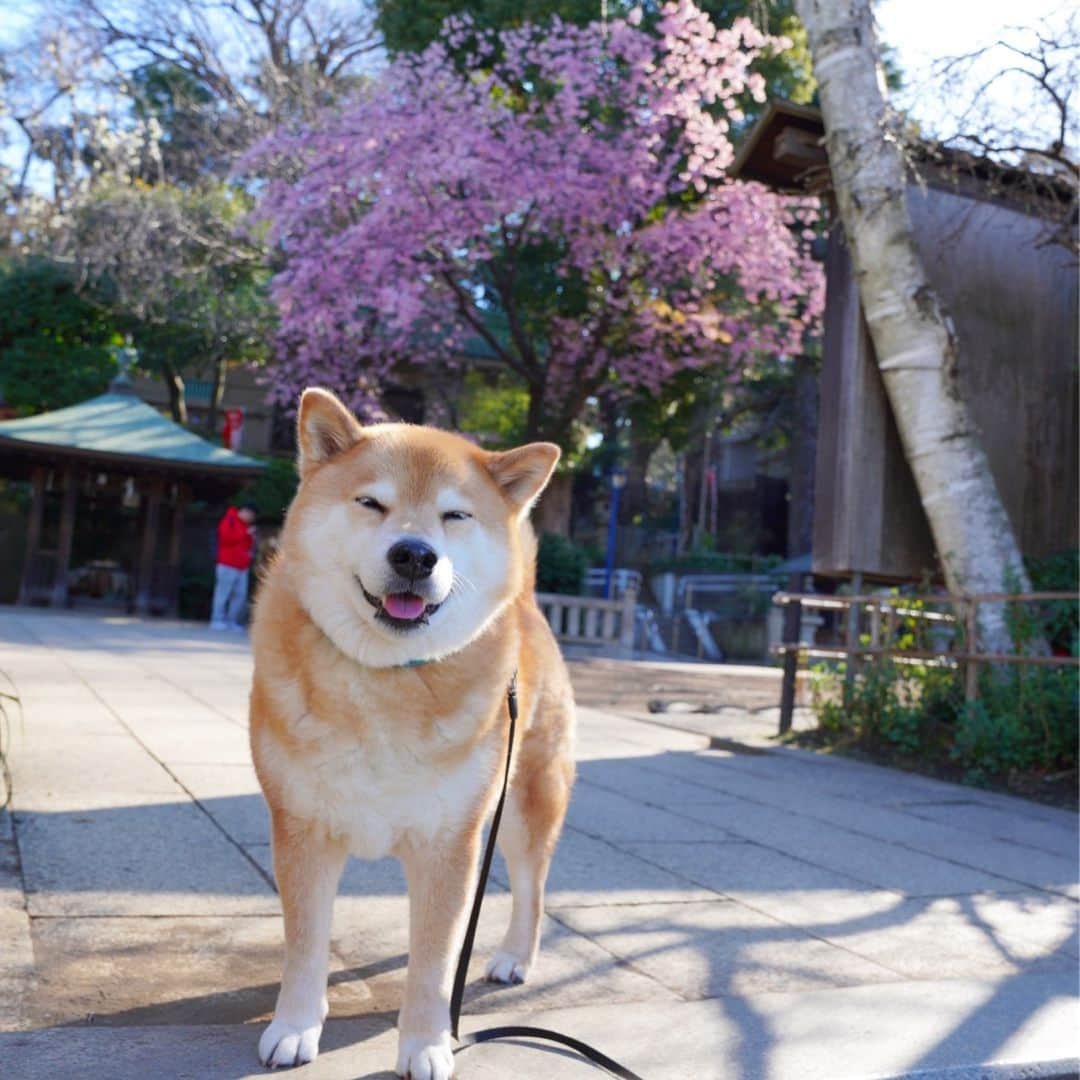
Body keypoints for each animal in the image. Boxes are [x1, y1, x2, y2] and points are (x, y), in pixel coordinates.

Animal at [249, 390, 578, 1080]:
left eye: (454, 515)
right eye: (371, 503)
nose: (414, 554)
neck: (386, 679)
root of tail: (530, 603)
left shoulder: (448, 842)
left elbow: (431, 961)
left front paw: (426, 1044)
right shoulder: (301, 829)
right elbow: (305, 943)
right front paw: (294, 1028)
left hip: (521, 805)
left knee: (531, 887)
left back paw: (515, 956)